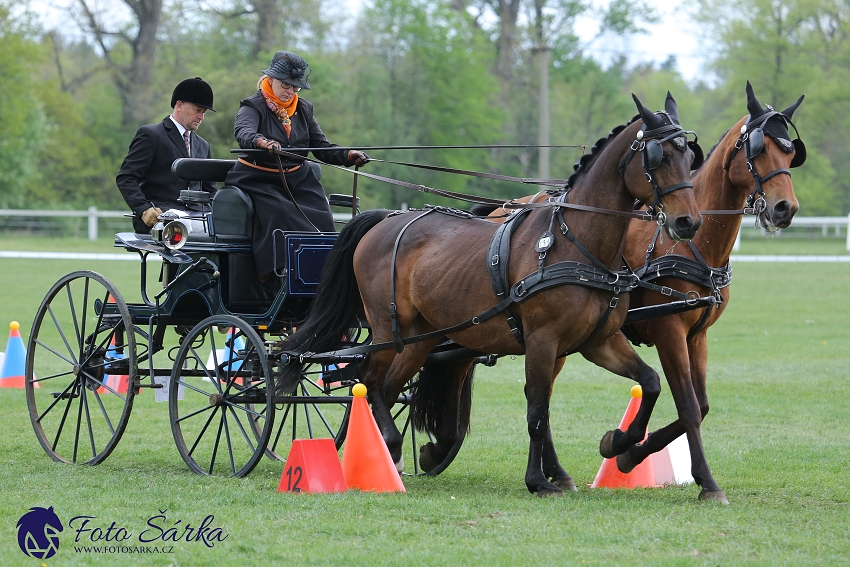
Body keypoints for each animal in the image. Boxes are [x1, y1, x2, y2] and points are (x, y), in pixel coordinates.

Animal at [278, 93, 704, 496]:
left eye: (689, 156)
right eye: (659, 156)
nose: (688, 222)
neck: (575, 243)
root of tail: (386, 219)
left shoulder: (599, 340)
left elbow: (650, 383)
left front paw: (618, 444)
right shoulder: (542, 340)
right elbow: (537, 412)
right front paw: (539, 481)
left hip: (419, 337)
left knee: (383, 386)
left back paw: (392, 452)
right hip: (386, 329)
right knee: (366, 377)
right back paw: (390, 447)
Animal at [474, 83, 804, 502]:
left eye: (791, 152)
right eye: (759, 150)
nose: (785, 208)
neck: (691, 246)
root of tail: (506, 208)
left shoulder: (697, 336)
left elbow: (700, 406)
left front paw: (628, 453)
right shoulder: (669, 332)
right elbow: (688, 406)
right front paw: (703, 481)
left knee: (539, 393)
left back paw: (558, 473)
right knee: (538, 395)